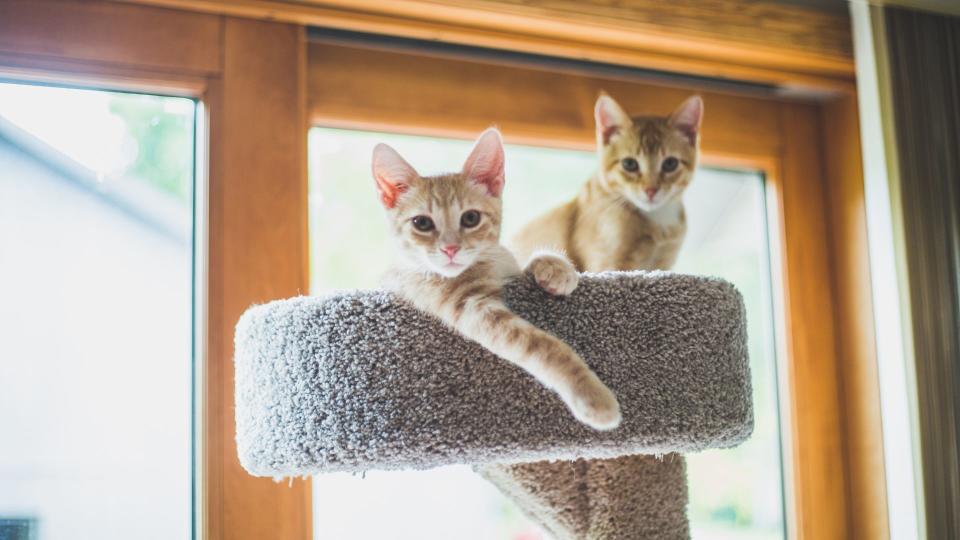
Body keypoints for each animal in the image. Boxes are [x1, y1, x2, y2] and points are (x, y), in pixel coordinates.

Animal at [372, 127, 620, 430]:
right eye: (422, 223)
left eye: (470, 218)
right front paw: (590, 395)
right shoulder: (471, 306)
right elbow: (542, 346)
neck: (485, 264)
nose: (450, 248)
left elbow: (522, 261)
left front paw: (556, 268)